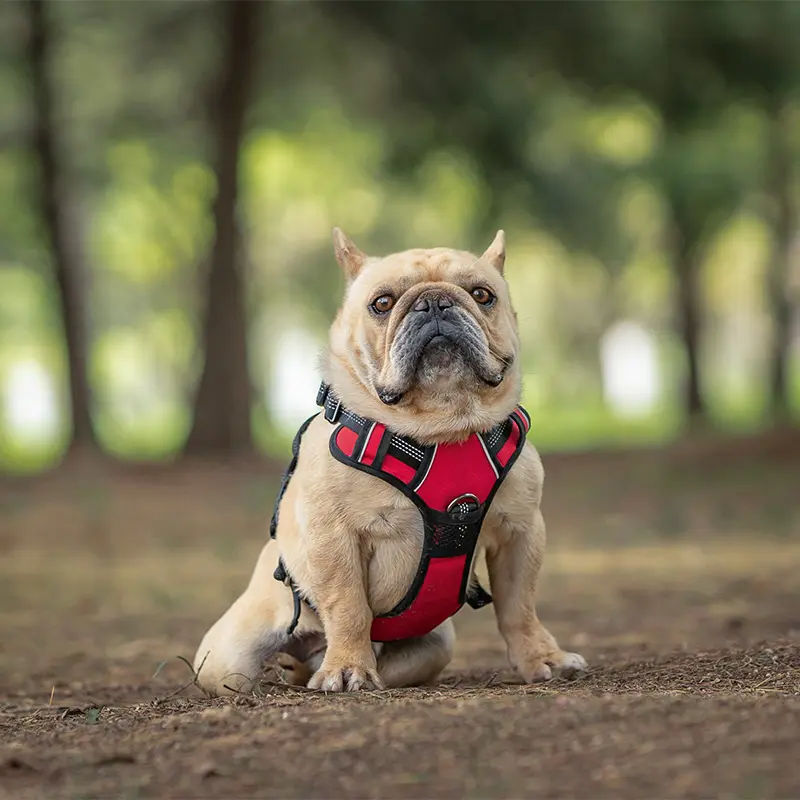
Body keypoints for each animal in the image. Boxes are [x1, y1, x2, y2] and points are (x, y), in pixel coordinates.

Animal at [191, 227, 584, 692]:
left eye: (482, 295)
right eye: (381, 303)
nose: (434, 302)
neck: (441, 427)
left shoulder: (519, 532)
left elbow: (519, 606)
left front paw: (542, 657)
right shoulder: (333, 538)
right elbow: (348, 606)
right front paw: (346, 667)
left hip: (436, 645)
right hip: (226, 661)